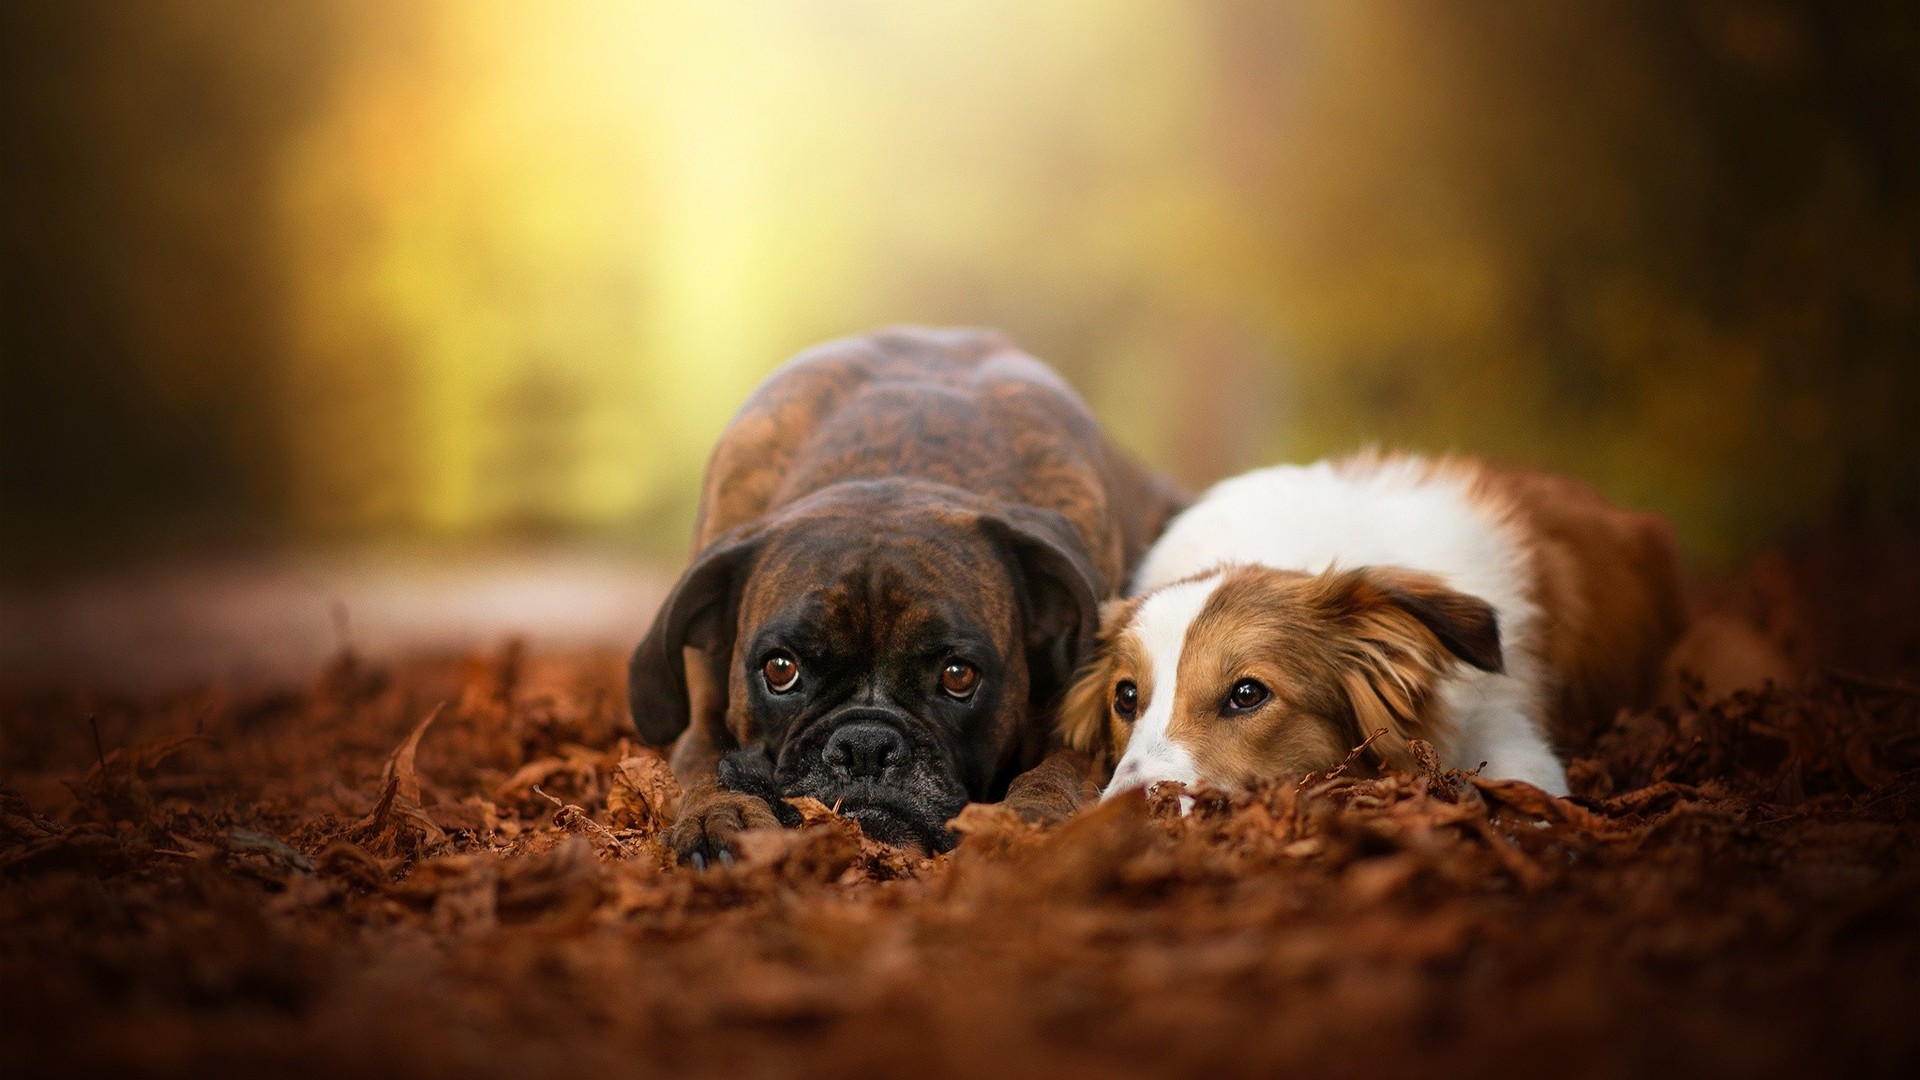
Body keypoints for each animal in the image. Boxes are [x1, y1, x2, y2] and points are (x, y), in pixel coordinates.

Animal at [629, 322, 1182, 860]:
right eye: (780, 669)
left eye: (958, 675)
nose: (866, 746)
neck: (896, 460)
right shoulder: (700, 726)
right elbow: (707, 765)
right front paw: (722, 815)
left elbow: (1058, 770)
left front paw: (1028, 818)